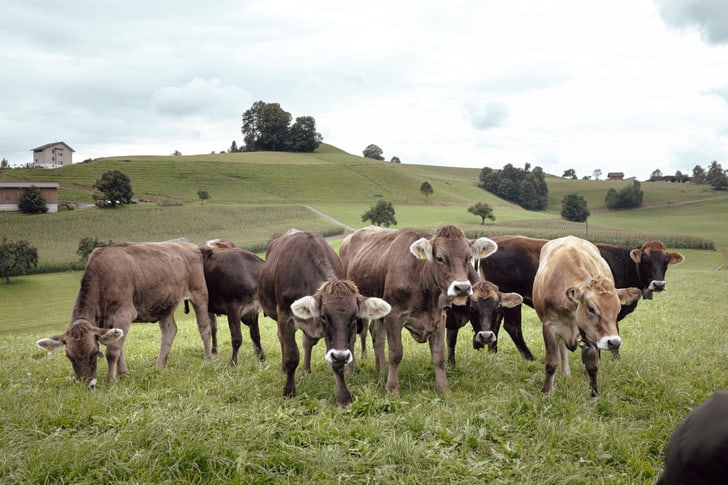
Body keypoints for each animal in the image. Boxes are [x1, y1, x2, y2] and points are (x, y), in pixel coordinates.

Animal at [36, 240, 213, 387]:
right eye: (69, 357)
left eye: (93, 353)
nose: (88, 385)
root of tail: (189, 245)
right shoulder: (107, 322)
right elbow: (119, 347)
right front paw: (123, 374)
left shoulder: (124, 314)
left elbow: (113, 351)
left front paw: (111, 380)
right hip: (164, 303)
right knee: (169, 331)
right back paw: (159, 366)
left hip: (199, 294)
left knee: (204, 328)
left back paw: (208, 359)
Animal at [256, 229, 391, 406]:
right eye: (324, 316)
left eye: (355, 317)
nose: (341, 355)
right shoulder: (286, 317)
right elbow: (292, 356)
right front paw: (288, 392)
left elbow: (336, 362)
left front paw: (344, 397)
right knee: (282, 339)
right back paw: (284, 368)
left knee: (307, 343)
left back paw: (306, 370)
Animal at [339, 225, 498, 396]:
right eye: (440, 258)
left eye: (468, 258)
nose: (462, 287)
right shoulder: (393, 316)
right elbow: (396, 353)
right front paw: (392, 389)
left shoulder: (439, 317)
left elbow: (439, 355)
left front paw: (444, 388)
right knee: (352, 339)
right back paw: (351, 371)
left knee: (377, 336)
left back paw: (381, 371)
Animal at [478, 235, 685, 360]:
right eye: (646, 261)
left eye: (666, 261)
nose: (658, 284)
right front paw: (615, 358)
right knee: (512, 327)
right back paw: (530, 358)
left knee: (495, 325)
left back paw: (493, 353)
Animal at [532, 236, 642, 396]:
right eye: (591, 308)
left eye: (618, 309)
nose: (614, 342)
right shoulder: (549, 327)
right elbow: (552, 362)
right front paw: (547, 391)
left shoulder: (592, 334)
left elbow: (593, 366)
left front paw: (594, 393)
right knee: (562, 348)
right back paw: (565, 372)